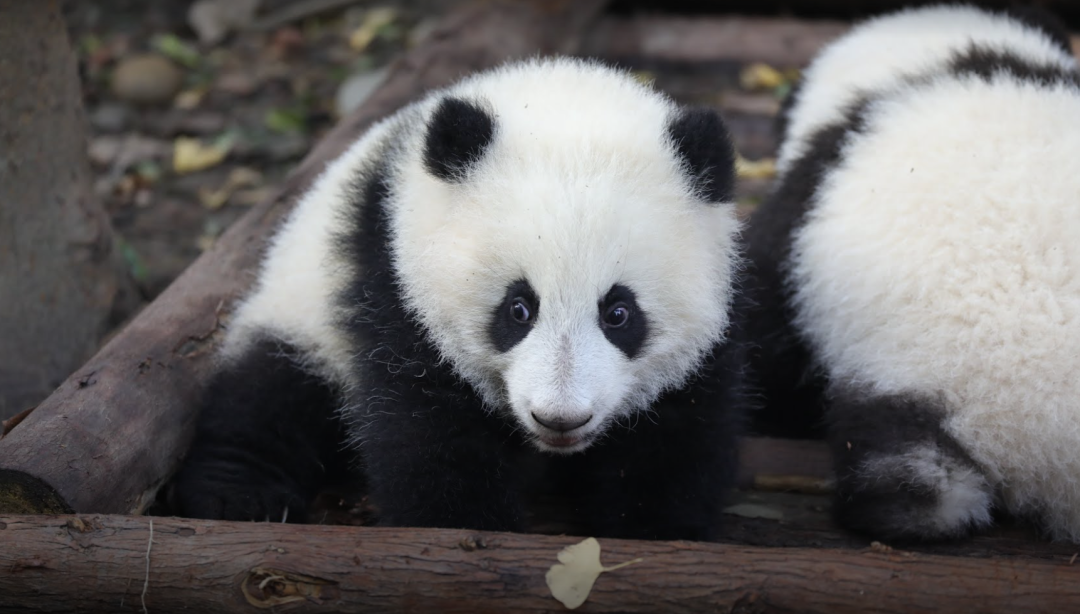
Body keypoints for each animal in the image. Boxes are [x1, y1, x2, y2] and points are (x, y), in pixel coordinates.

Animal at [170, 56, 751, 535]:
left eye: (619, 313)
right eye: (518, 309)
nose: (560, 418)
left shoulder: (714, 322)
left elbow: (679, 436)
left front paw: (654, 530)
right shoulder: (394, 282)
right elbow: (426, 430)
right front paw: (465, 528)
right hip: (301, 306)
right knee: (269, 393)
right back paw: (237, 495)